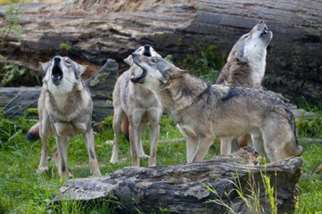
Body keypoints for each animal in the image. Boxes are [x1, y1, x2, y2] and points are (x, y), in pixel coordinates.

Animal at [130, 54, 302, 162]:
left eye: (153, 59)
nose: (133, 53)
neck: (184, 100)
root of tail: (285, 106)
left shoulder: (207, 138)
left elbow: (195, 162)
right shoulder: (191, 139)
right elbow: (188, 162)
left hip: (271, 148)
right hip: (260, 146)